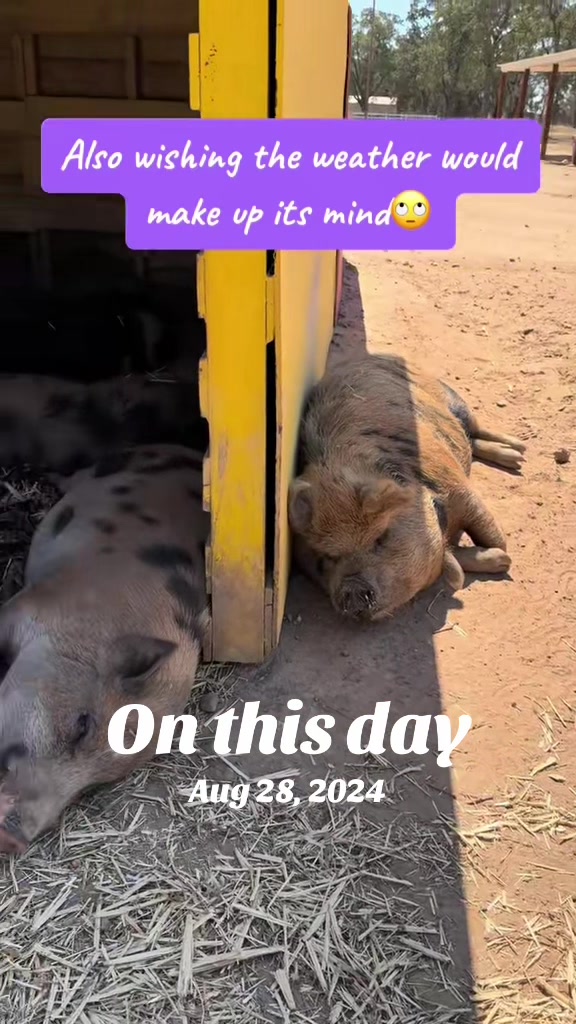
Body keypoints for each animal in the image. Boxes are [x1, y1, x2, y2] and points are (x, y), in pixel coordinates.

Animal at [288, 353, 526, 622]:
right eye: (323, 561)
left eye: (380, 538)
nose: (352, 590)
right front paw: (497, 561)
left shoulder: (458, 488)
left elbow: (493, 535)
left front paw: (504, 560)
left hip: (453, 398)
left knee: (473, 428)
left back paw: (519, 452)